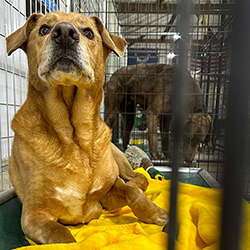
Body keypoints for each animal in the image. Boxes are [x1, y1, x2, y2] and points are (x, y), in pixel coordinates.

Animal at [5, 11, 168, 244]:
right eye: (44, 29)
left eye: (88, 32)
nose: (65, 32)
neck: (75, 138)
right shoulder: (34, 216)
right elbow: (63, 237)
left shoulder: (109, 191)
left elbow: (132, 192)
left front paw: (155, 213)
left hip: (118, 159)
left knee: (137, 179)